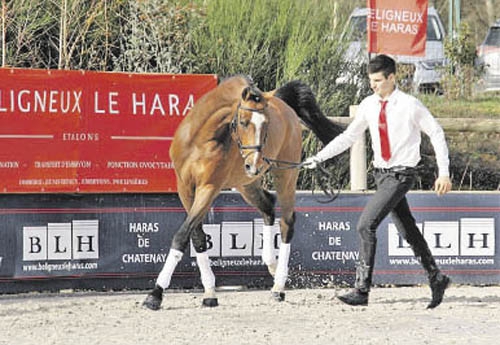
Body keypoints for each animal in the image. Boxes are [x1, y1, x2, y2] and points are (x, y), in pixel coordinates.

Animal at [143, 74, 342, 310]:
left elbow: (182, 235)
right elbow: (197, 237)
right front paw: (209, 292)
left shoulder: (209, 188)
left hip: (284, 175)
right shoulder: (185, 188)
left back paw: (279, 286)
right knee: (268, 207)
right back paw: (271, 265)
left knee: (286, 222)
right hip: (246, 184)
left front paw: (155, 294)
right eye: (243, 122)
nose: (254, 164)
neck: (201, 139)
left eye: (266, 125)